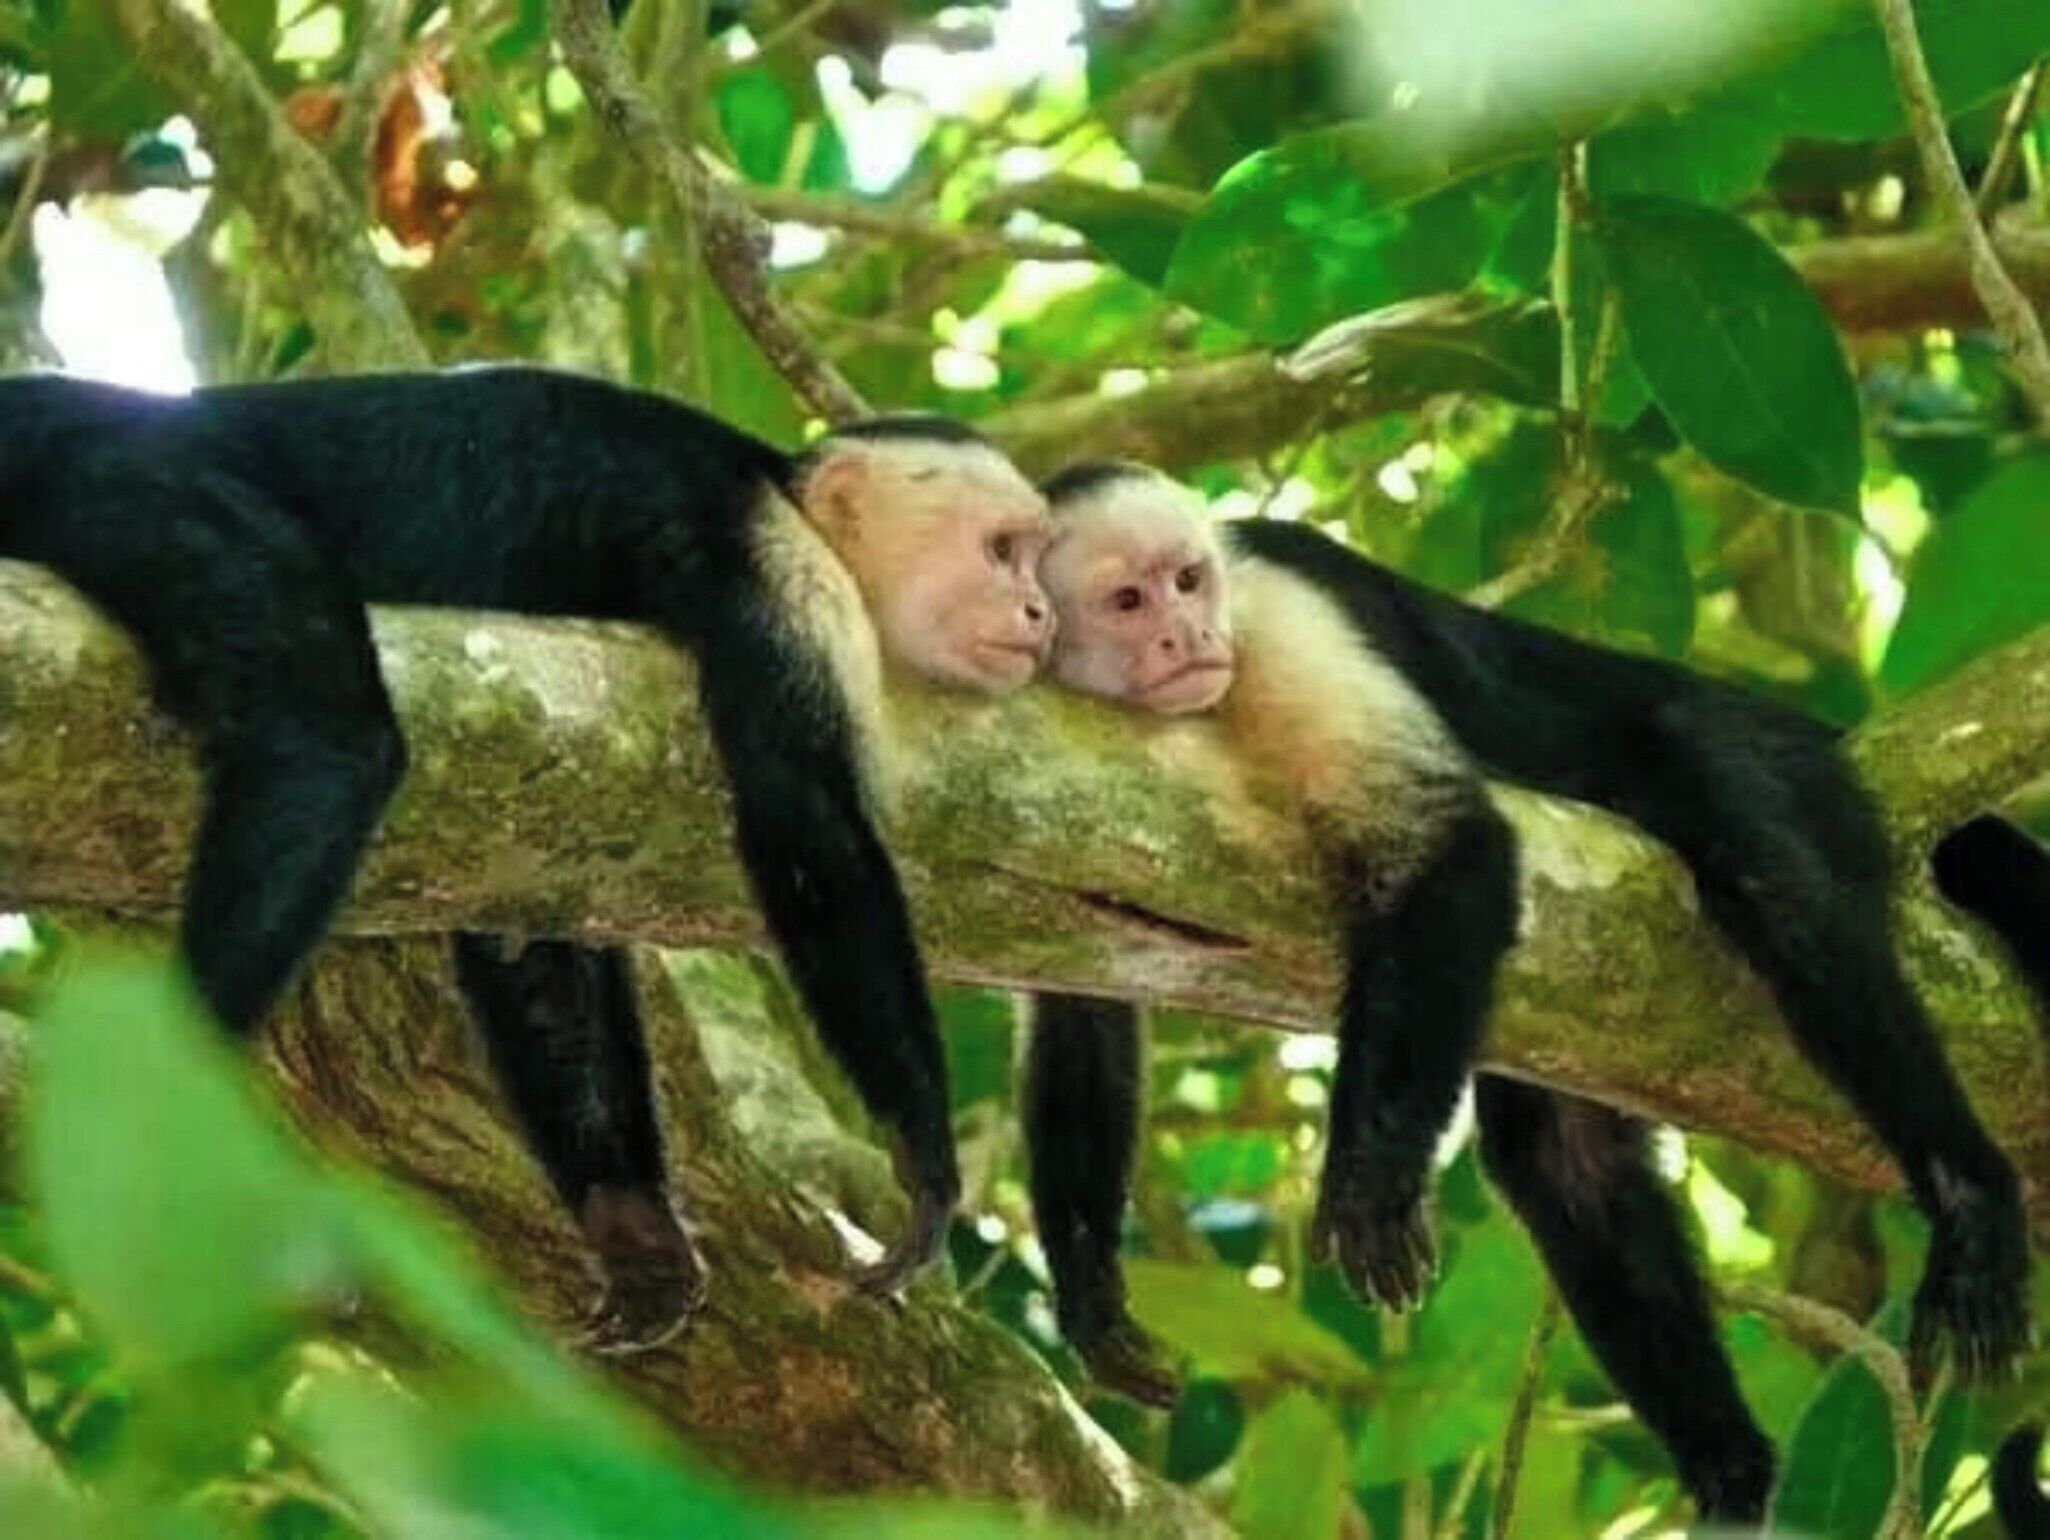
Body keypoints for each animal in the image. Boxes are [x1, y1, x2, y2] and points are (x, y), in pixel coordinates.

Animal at [0, 366, 1055, 1347]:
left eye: (1034, 561)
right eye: (1003, 551)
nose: (1043, 613)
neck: (788, 503)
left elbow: (533, 946)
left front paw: (631, 1228)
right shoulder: (786, 581)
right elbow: (808, 826)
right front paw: (924, 1152)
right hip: (136, 475)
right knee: (328, 735)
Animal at [1017, 460, 2032, 1524]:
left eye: (1189, 580)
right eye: (1128, 602)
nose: (1191, 635)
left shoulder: (1276, 627)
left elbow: (1453, 850)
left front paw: (1370, 1176)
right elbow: (1082, 1007)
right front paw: (1089, 1289)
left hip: (1768, 762)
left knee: (1767, 870)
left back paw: (1968, 1192)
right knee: (1559, 1155)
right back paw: (1732, 1467)